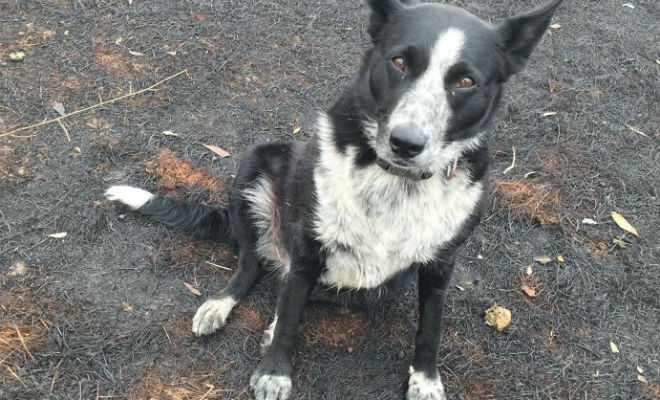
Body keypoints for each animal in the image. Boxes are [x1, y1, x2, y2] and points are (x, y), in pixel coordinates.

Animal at [105, 1, 564, 398]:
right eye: (399, 62)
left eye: (465, 82)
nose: (406, 143)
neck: (394, 180)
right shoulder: (309, 244)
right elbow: (291, 314)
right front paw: (275, 372)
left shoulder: (440, 264)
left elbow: (429, 329)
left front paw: (426, 381)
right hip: (257, 164)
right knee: (253, 266)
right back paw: (222, 305)